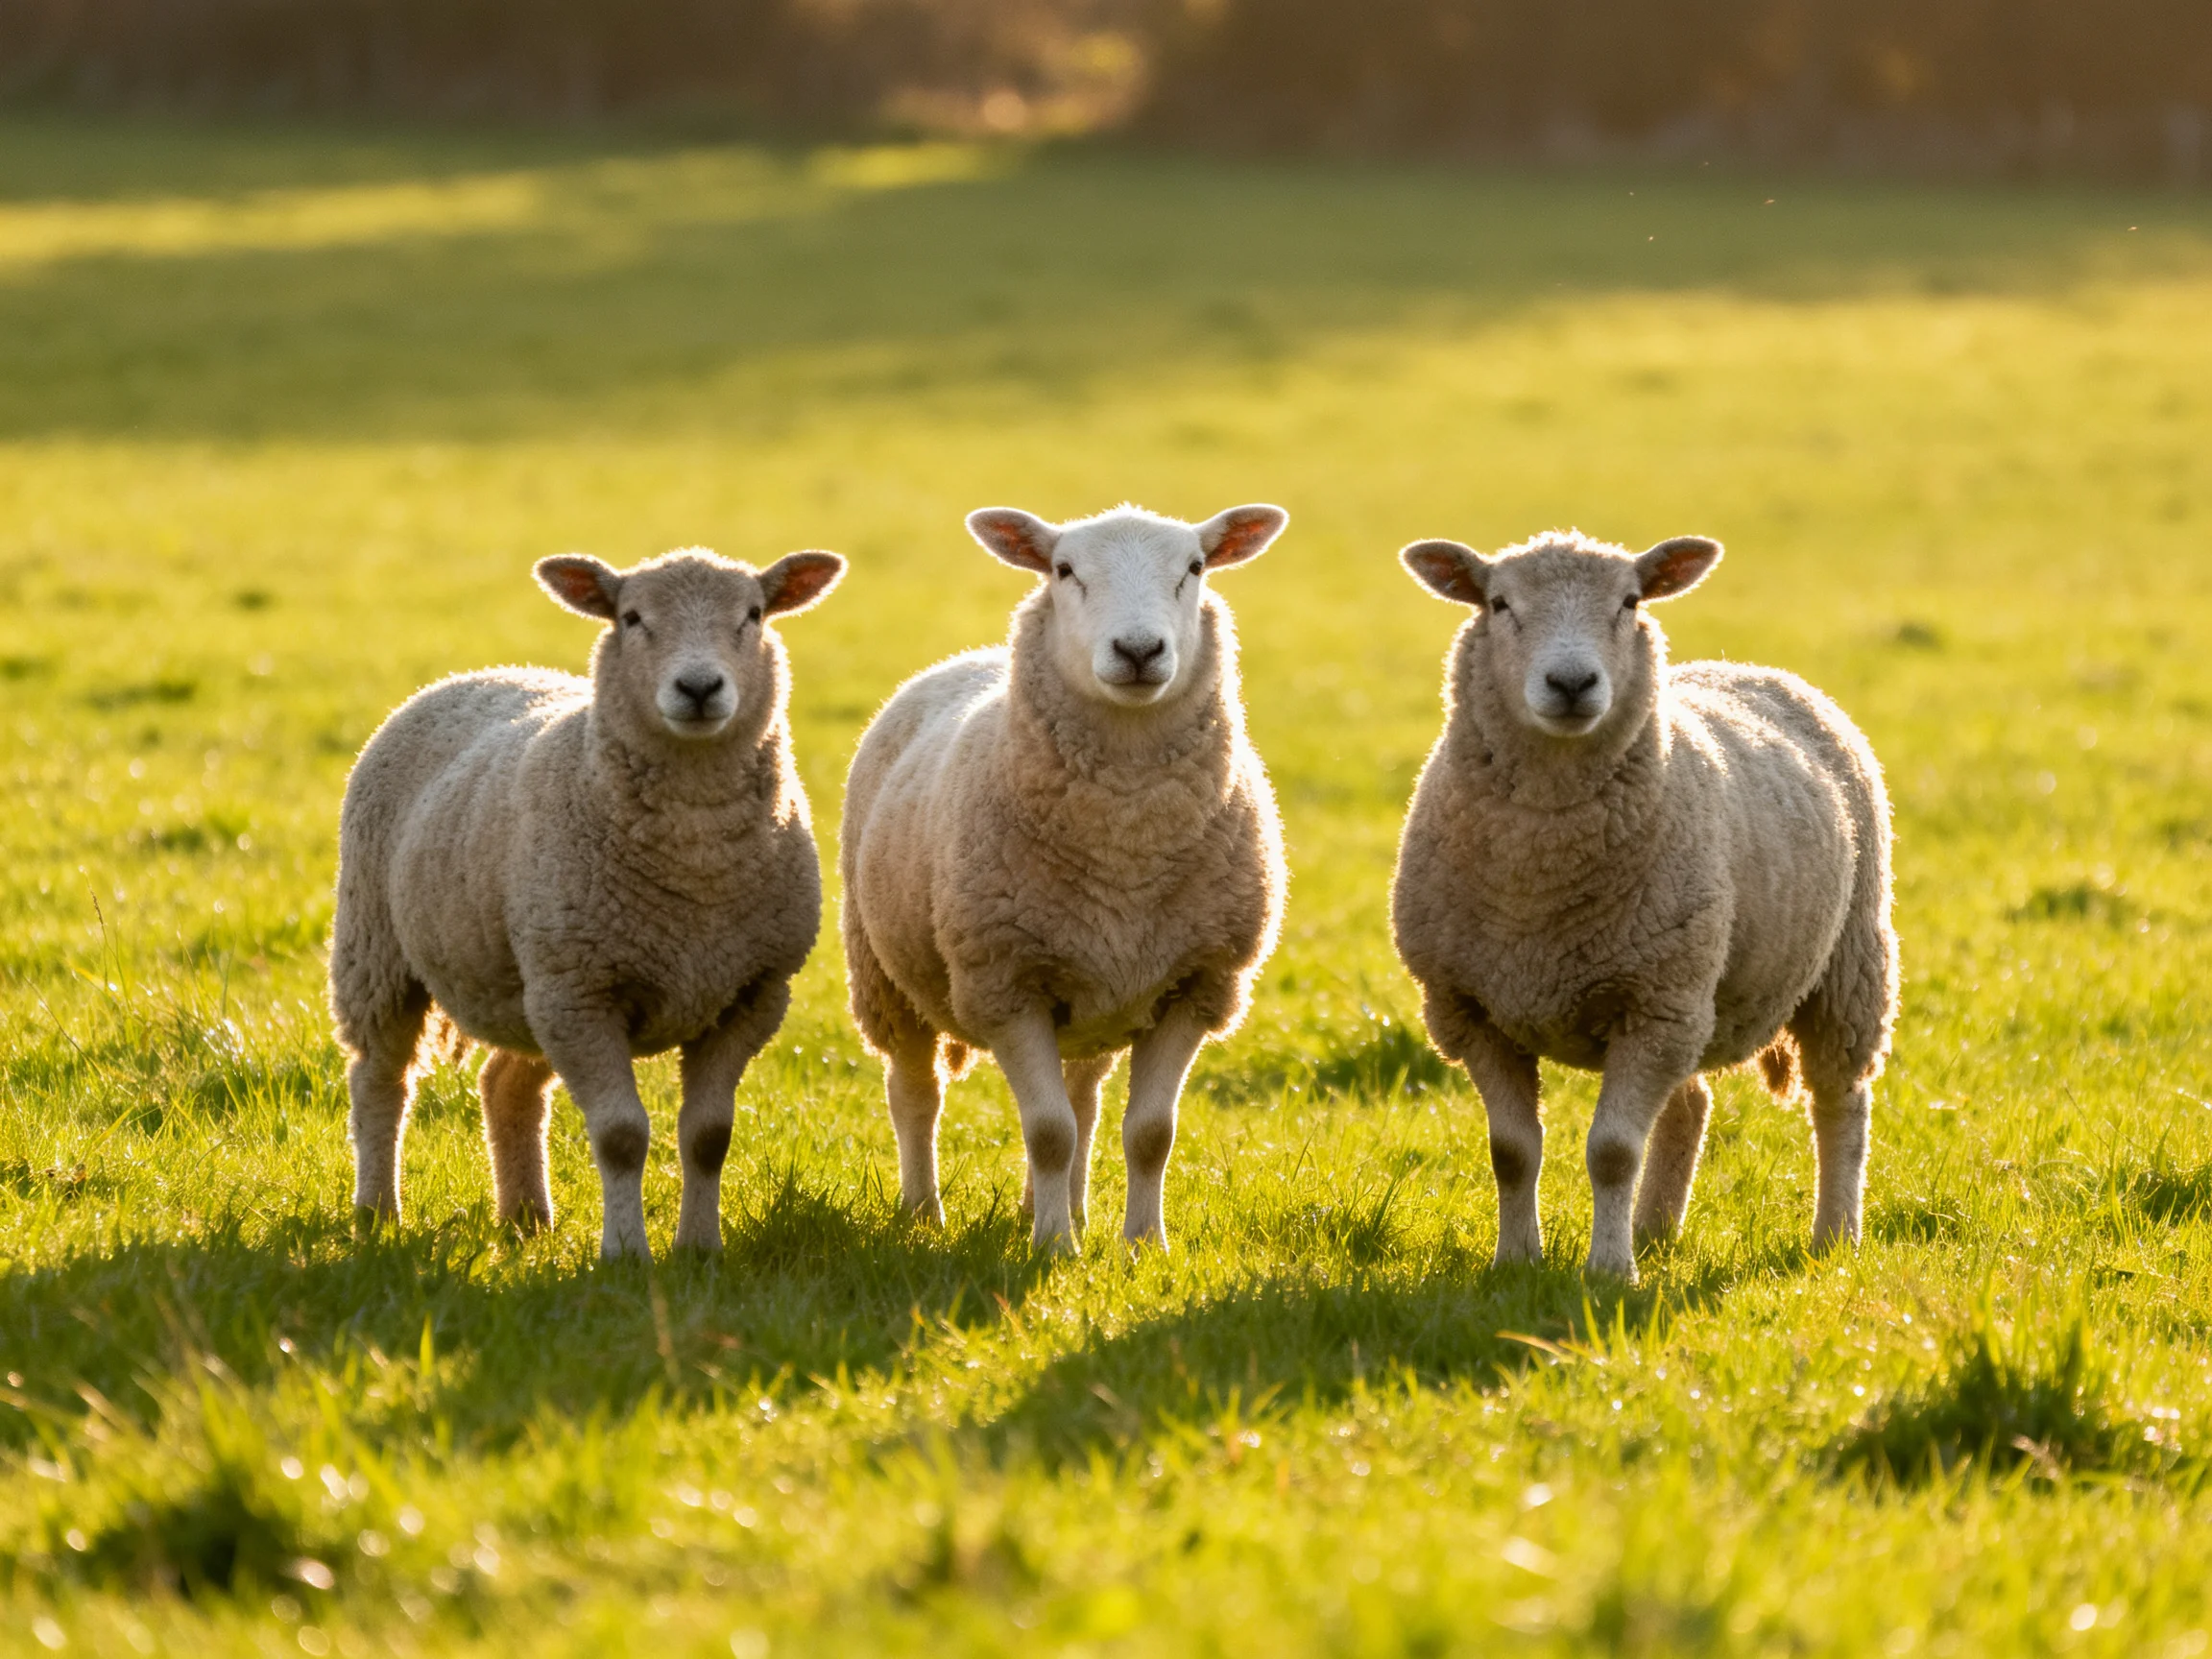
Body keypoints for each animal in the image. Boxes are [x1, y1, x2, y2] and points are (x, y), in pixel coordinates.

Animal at [329, 546, 845, 1260]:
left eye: (754, 614)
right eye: (631, 618)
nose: (699, 688)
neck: (698, 864)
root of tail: (479, 672)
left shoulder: (751, 995)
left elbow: (709, 1136)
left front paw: (699, 1249)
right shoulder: (584, 994)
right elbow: (621, 1136)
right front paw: (626, 1254)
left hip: (528, 980)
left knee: (505, 1085)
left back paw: (526, 1218)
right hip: (382, 951)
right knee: (381, 1081)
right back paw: (379, 1213)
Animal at [839, 503, 1289, 1253]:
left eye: (1195, 567)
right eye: (1064, 569)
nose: (1138, 651)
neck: (1126, 847)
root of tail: (968, 658)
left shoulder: (1197, 983)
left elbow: (1149, 1133)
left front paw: (1142, 1246)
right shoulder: (1006, 984)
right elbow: (1047, 1131)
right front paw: (1052, 1249)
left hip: (1097, 999)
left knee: (1083, 1097)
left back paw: (1061, 1207)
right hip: (885, 977)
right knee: (916, 1094)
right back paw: (924, 1213)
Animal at [1390, 529, 1897, 1282]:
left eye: (1629, 601)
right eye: (1499, 603)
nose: (1572, 684)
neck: (1538, 882)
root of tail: (1748, 668)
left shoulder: (1652, 1004)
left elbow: (1612, 1153)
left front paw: (1608, 1272)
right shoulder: (1472, 1009)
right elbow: (1511, 1153)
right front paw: (1516, 1263)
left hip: (1843, 966)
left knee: (1840, 1102)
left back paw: (1833, 1237)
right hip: (1690, 994)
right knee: (1691, 1102)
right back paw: (1656, 1229)